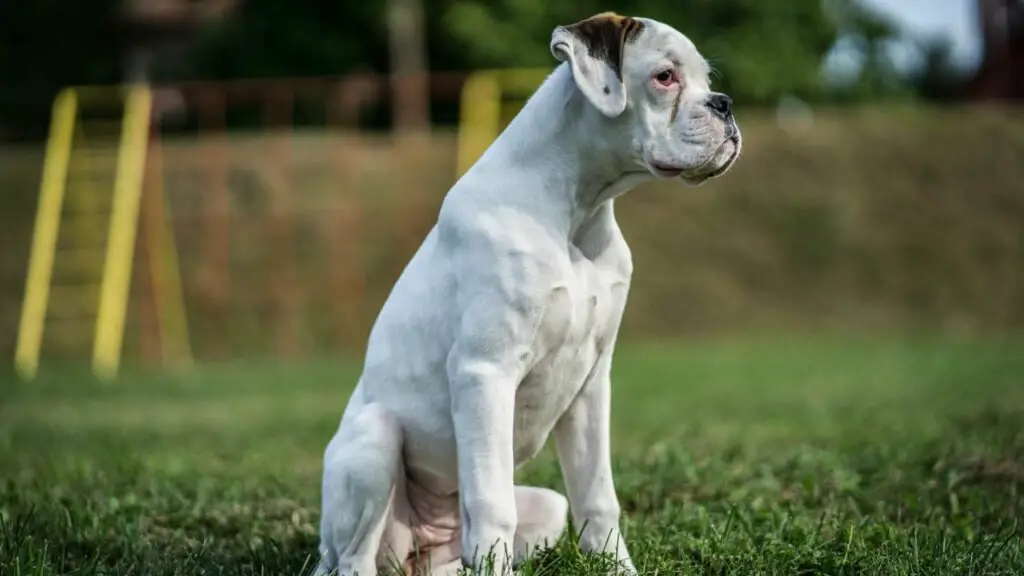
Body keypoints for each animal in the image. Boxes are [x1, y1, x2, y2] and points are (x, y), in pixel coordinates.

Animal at [315, 10, 741, 573]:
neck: (577, 212)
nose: (725, 104)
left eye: (707, 81)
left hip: (541, 508)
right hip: (372, 441)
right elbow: (492, 503)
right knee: (354, 559)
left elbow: (597, 496)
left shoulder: (591, 383)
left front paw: (618, 566)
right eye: (665, 77)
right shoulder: (485, 372)